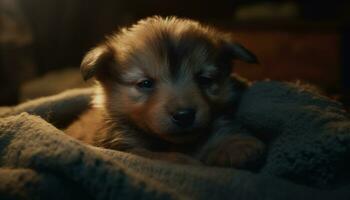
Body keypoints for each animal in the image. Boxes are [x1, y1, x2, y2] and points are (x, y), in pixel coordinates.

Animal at [67, 16, 266, 169]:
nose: (184, 115)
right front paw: (187, 161)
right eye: (145, 83)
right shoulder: (125, 145)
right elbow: (158, 156)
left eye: (204, 79)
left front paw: (237, 146)